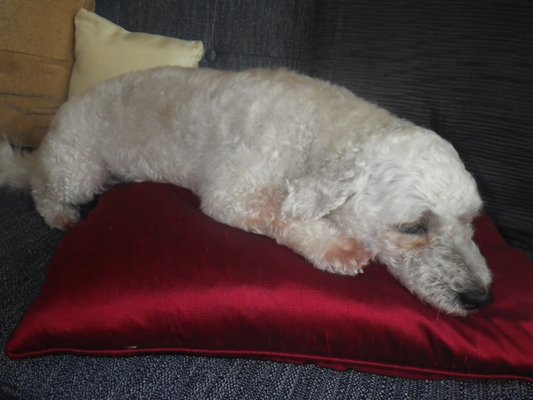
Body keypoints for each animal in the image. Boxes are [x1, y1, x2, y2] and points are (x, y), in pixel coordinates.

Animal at [0, 66, 490, 316]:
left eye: (471, 221)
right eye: (413, 227)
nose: (480, 299)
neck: (321, 132)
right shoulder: (231, 193)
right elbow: (281, 211)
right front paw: (336, 246)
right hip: (78, 171)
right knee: (40, 186)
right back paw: (59, 213)